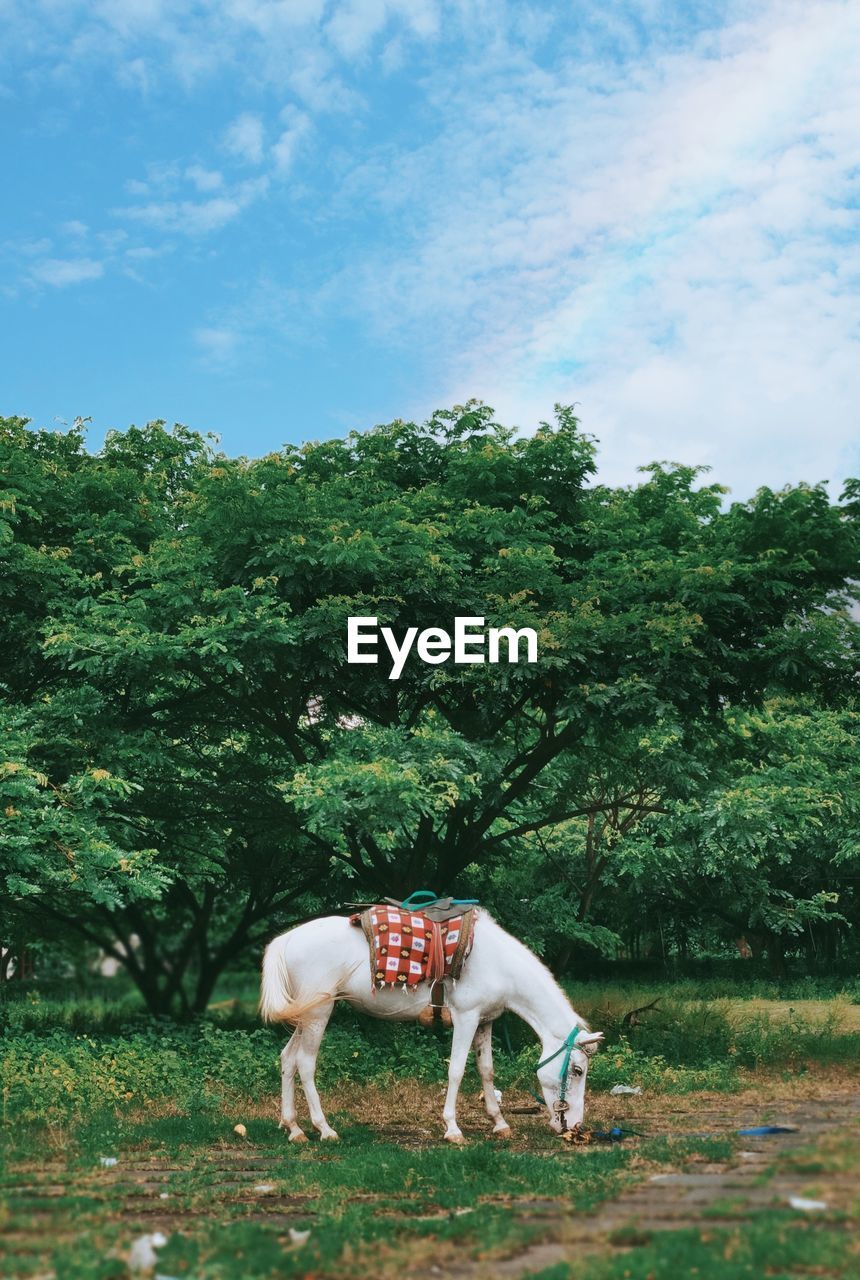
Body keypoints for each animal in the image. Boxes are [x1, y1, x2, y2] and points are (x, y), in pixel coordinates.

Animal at [258, 906, 601, 1146]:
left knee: (288, 1059)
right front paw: (453, 1129)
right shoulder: (466, 1017)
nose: (576, 1127)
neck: (498, 964)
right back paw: (324, 1129)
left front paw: (500, 1123)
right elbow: (457, 1070)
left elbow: (487, 1071)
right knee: (305, 1063)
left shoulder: (485, 1022)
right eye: (577, 1070)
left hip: (306, 1017)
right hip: (319, 1012)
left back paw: (293, 1128)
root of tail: (286, 939)